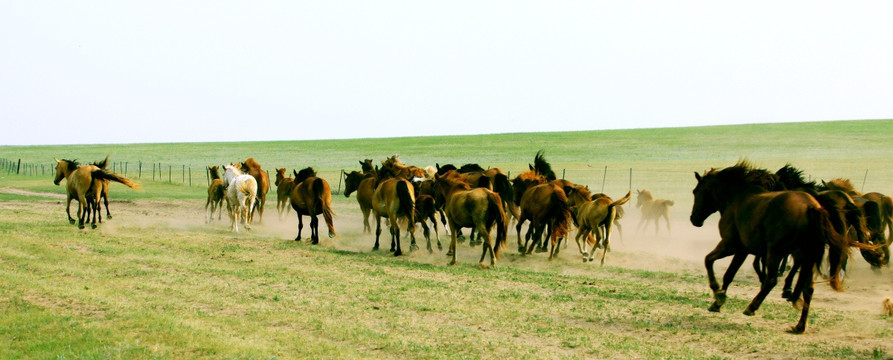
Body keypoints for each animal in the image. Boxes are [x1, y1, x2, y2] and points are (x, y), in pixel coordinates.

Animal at [688, 162, 856, 334]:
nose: (694, 219)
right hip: (808, 258)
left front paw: (718, 294)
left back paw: (752, 307)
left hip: (775, 253)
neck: (736, 197)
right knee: (808, 289)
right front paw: (718, 302)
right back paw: (799, 326)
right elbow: (729, 274)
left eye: (695, 191)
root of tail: (812, 207)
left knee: (772, 280)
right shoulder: (742, 250)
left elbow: (708, 260)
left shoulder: (729, 245)